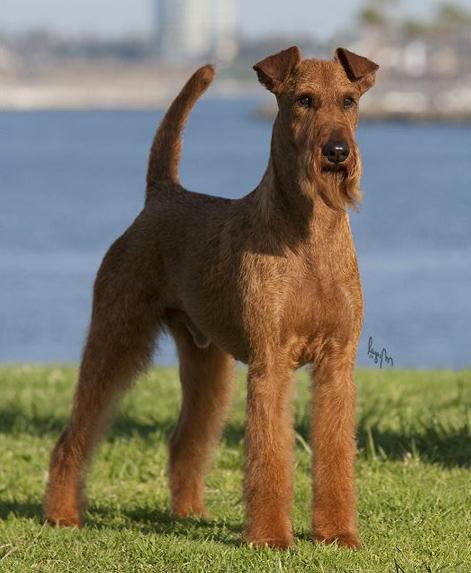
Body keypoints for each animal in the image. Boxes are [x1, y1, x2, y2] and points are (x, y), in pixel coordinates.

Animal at [44, 45, 380, 548]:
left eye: (348, 101)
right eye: (303, 100)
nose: (337, 152)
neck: (310, 236)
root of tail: (162, 195)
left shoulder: (336, 363)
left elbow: (336, 454)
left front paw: (338, 533)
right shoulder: (271, 364)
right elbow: (270, 456)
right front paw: (270, 538)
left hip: (208, 363)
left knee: (185, 440)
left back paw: (190, 514)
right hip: (116, 336)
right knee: (75, 434)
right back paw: (62, 515)